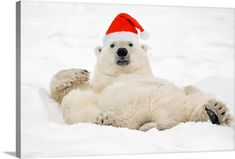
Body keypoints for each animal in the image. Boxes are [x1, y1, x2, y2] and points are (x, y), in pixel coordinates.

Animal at [50, 40, 232, 131]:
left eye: (130, 44)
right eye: (112, 45)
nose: (122, 51)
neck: (123, 73)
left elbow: (190, 88)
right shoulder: (97, 88)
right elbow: (65, 93)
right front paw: (79, 72)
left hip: (177, 103)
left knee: (194, 100)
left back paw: (217, 112)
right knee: (75, 105)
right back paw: (106, 119)